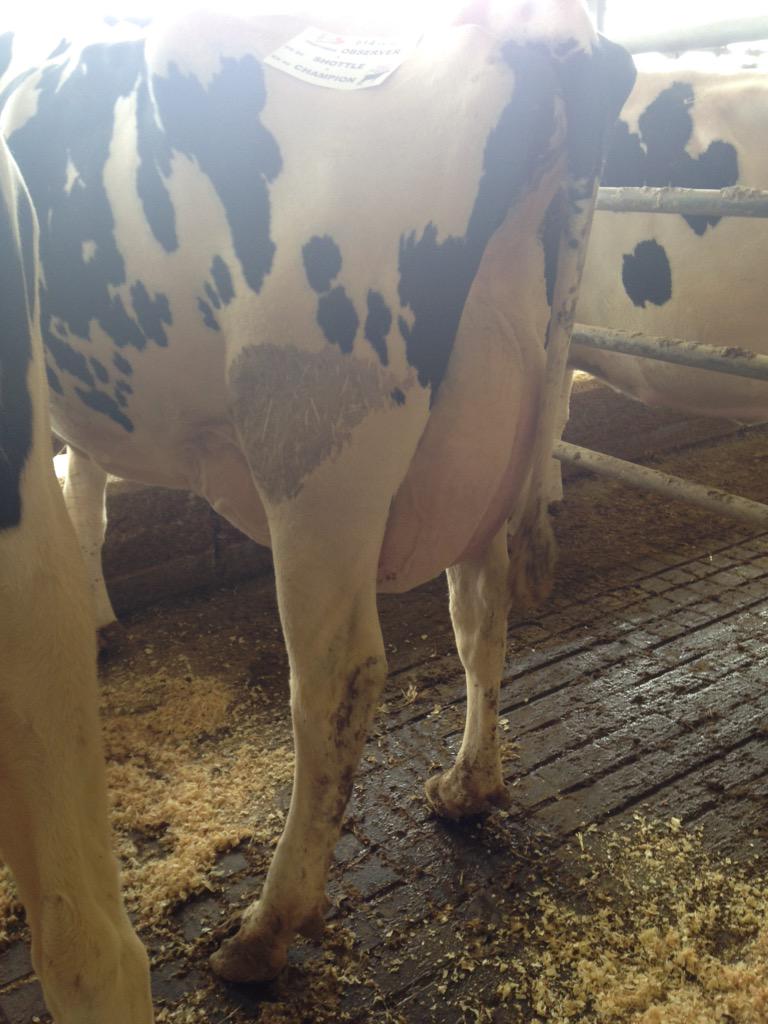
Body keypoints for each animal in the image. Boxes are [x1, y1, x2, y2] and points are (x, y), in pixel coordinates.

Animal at [0, 3, 634, 981]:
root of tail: (537, 34)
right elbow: (86, 492)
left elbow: (83, 498)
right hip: (498, 422)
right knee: (481, 614)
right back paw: (468, 785)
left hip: (313, 449)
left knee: (337, 679)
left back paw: (265, 930)